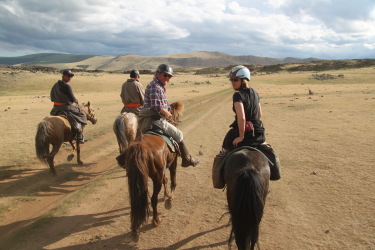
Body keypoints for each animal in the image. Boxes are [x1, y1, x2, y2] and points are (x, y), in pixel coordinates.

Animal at [116, 102, 184, 240]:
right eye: (176, 114)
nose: (177, 121)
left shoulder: (162, 170)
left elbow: (166, 179)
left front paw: (166, 194)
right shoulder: (172, 163)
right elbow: (172, 180)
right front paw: (169, 199)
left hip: (136, 178)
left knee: (136, 201)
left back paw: (135, 228)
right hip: (155, 177)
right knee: (153, 199)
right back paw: (156, 220)